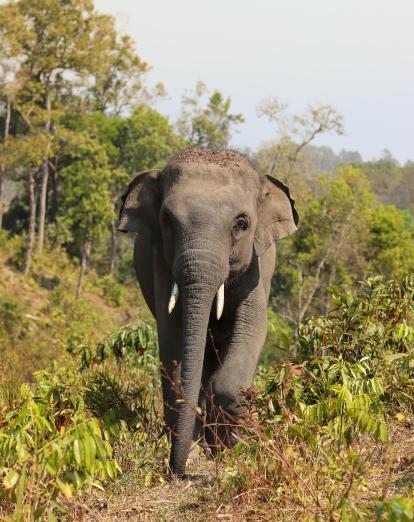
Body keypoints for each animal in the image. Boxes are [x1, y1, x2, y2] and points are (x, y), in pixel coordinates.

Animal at [118, 146, 300, 476]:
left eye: (241, 223)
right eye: (167, 220)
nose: (178, 472)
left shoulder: (258, 265)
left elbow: (253, 327)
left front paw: (226, 451)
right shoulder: (161, 263)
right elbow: (173, 338)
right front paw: (193, 452)